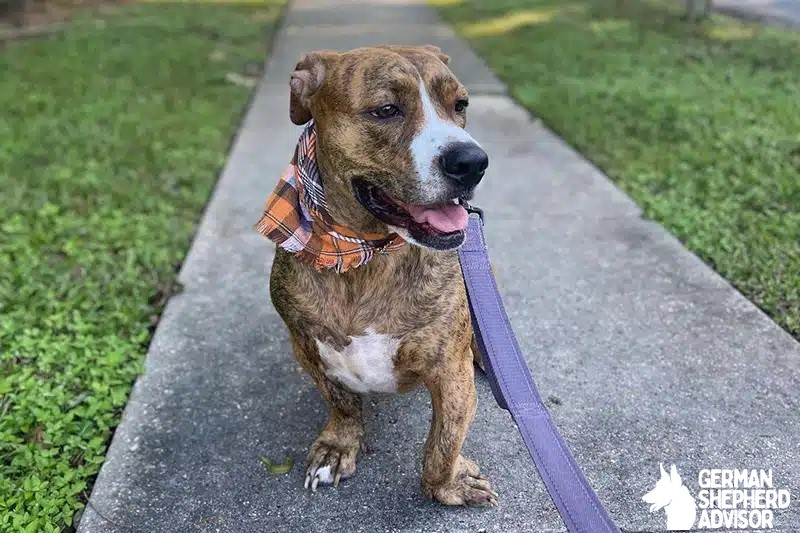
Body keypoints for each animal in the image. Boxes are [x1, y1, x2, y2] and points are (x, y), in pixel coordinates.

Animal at [256, 44, 496, 502]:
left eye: (460, 105)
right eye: (386, 110)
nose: (473, 161)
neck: (362, 256)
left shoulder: (450, 370)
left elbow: (442, 445)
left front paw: (450, 485)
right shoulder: (305, 346)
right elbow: (342, 402)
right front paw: (338, 446)